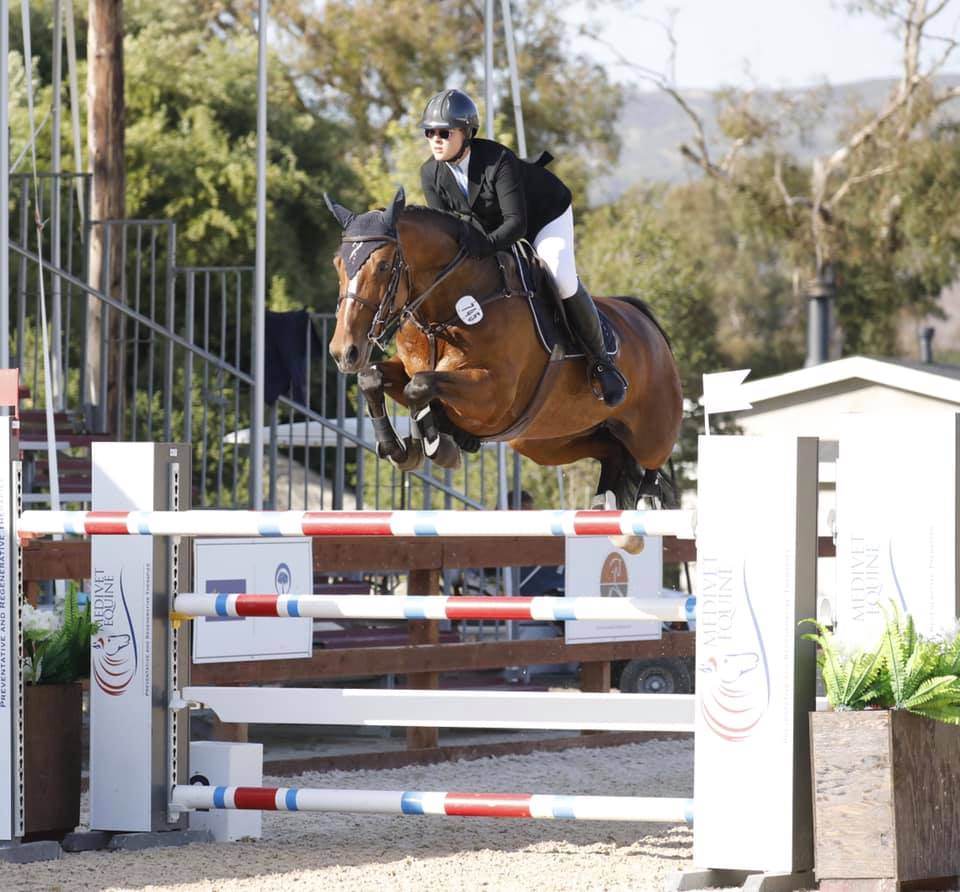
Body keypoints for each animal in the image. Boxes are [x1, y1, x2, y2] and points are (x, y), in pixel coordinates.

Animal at [322, 188, 684, 508]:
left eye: (383, 266)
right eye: (338, 264)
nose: (344, 352)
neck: (446, 310)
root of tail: (648, 324)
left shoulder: (494, 394)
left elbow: (420, 387)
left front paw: (440, 445)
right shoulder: (410, 368)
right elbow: (374, 378)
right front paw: (402, 449)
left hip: (652, 435)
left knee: (652, 467)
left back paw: (646, 498)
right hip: (548, 441)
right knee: (612, 454)